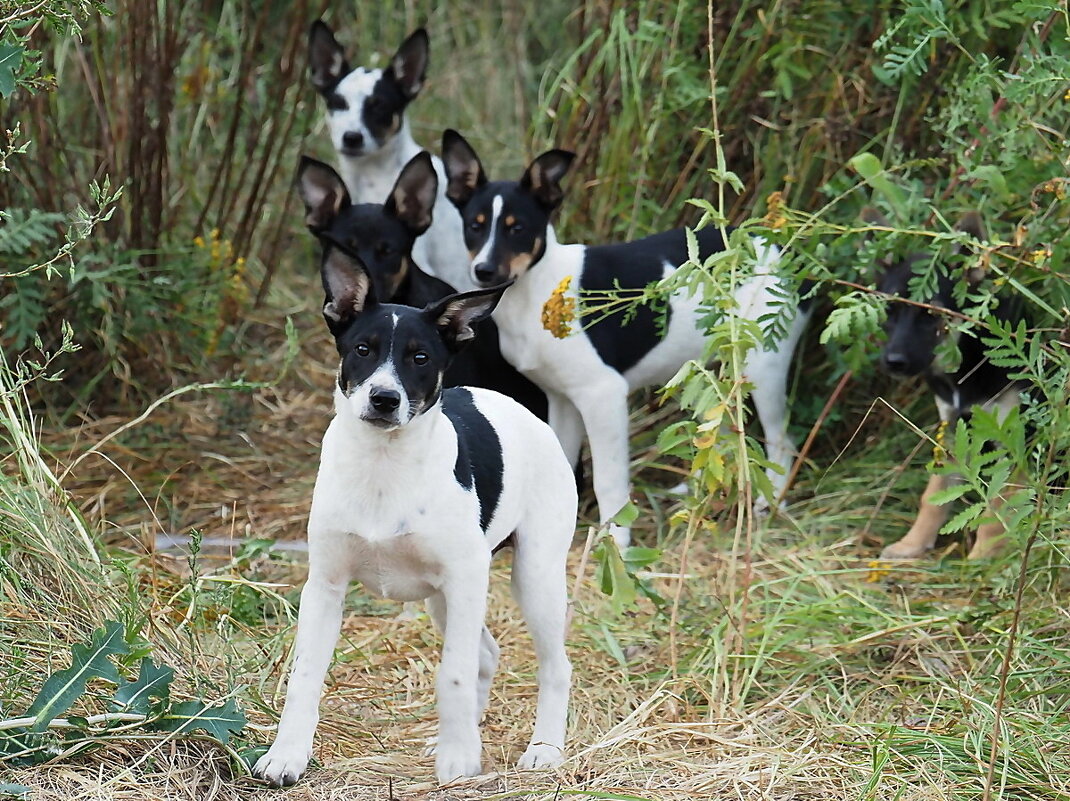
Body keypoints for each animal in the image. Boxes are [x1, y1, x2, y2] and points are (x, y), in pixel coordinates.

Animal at [252, 251, 577, 787]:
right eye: (362, 349)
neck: (384, 467)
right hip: (444, 599)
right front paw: (287, 755)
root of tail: (527, 412)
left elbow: (453, 673)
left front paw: (460, 758)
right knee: (486, 654)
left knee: (554, 665)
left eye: (420, 358)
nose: (384, 399)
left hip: (533, 577)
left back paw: (544, 749)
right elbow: (305, 677)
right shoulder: (324, 586)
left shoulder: (465, 579)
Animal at [438, 128, 804, 547]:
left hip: (764, 366)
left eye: (518, 229)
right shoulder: (562, 400)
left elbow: (609, 481)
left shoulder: (603, 395)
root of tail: (775, 245)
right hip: (714, 373)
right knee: (720, 434)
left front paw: (617, 540)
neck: (536, 290)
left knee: (782, 443)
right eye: (475, 226)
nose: (484, 271)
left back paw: (769, 507)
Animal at [873, 212, 1031, 560]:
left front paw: (984, 555)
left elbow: (998, 503)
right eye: (889, 311)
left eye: (932, 314)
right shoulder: (954, 429)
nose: (893, 362)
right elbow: (934, 493)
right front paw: (912, 544)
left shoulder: (1012, 437)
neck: (966, 366)